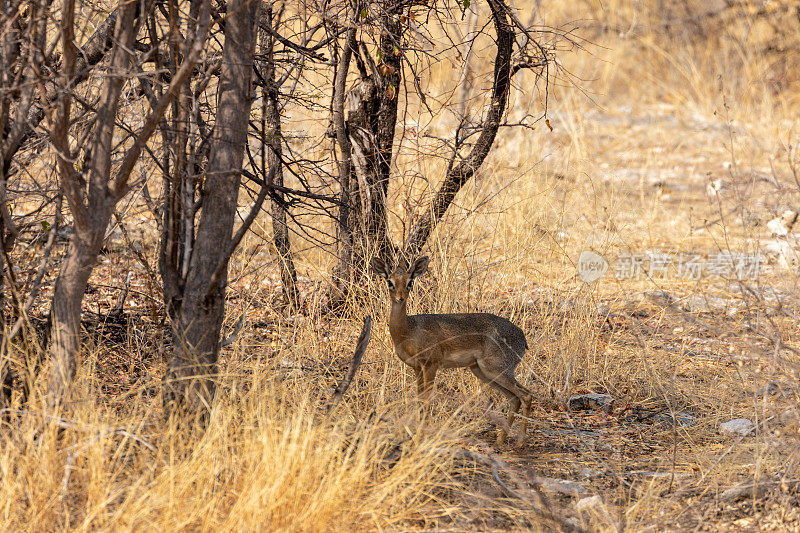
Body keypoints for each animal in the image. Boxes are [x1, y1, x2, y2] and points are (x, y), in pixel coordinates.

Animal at [372, 254, 536, 444]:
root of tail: (522, 336)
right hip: (482, 372)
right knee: (514, 398)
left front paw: (421, 436)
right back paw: (501, 440)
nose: (400, 298)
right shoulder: (417, 368)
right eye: (390, 281)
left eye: (410, 281)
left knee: (526, 395)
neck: (409, 330)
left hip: (496, 369)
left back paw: (520, 442)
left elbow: (427, 401)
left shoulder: (431, 365)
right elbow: (419, 400)